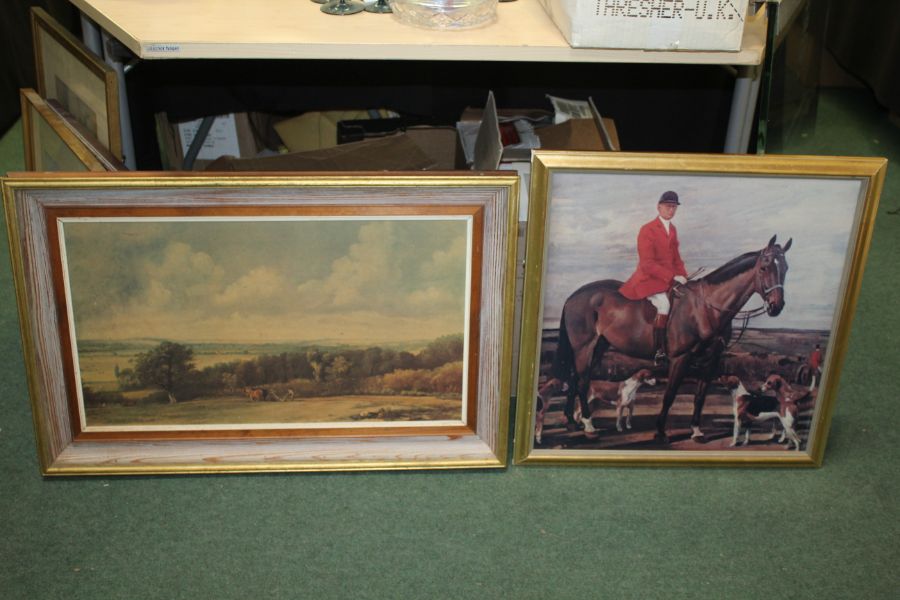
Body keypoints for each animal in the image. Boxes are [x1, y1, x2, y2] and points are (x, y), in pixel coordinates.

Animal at [548, 233, 796, 440]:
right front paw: (660, 431)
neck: (706, 308)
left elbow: (700, 396)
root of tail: (574, 295)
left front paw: (696, 430)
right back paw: (589, 426)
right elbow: (670, 394)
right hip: (584, 347)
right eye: (764, 267)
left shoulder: (711, 360)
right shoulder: (680, 358)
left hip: (599, 346)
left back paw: (571, 421)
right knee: (581, 381)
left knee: (574, 378)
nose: (776, 306)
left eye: (785, 267)